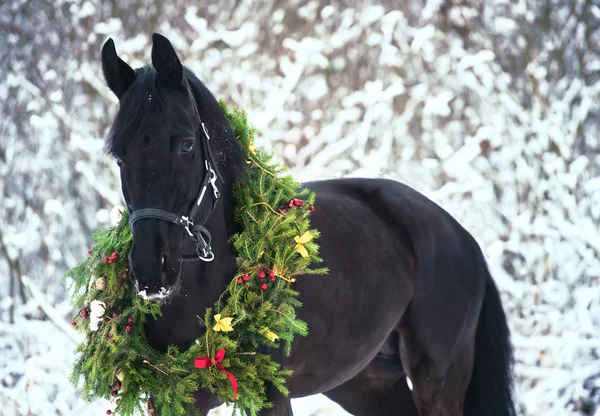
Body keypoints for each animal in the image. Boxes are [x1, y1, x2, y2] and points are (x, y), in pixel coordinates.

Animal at [99, 33, 516, 416]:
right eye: (119, 157)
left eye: (186, 145)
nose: (151, 270)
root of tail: (461, 236)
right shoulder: (174, 399)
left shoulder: (271, 393)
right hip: (368, 384)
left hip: (439, 380)